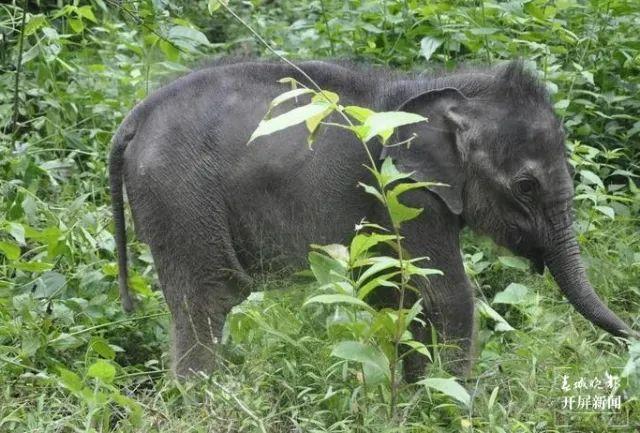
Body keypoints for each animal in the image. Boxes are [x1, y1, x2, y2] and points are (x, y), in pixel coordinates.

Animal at [110, 58, 636, 378]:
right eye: (526, 186)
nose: (630, 338)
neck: (439, 88)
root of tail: (133, 118)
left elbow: (396, 291)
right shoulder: (406, 191)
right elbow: (446, 295)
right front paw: (450, 409)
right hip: (180, 196)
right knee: (206, 301)